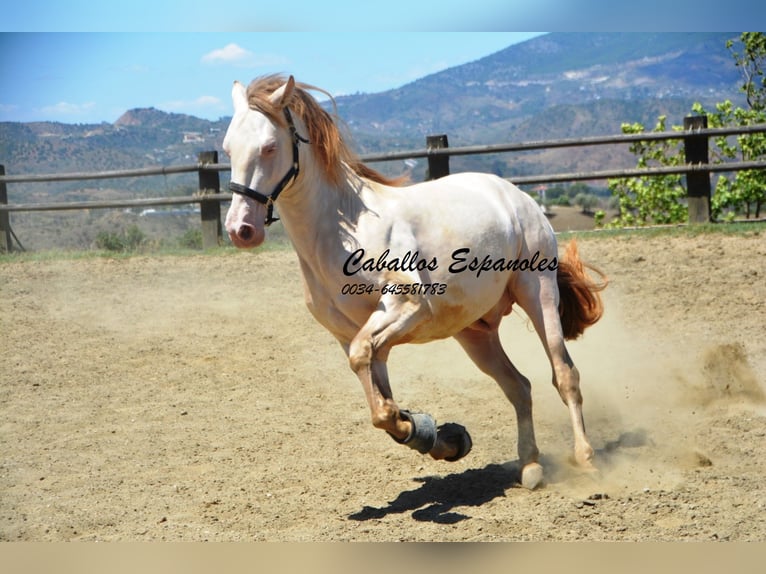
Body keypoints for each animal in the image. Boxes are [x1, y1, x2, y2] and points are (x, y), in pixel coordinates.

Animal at [222, 75, 608, 490]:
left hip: (539, 294)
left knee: (564, 375)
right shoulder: (350, 333)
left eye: (269, 147)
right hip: (475, 331)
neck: (342, 229)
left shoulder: (405, 307)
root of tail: (516, 194)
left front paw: (433, 433)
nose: (241, 230)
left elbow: (369, 373)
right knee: (518, 387)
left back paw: (586, 460)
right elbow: (380, 403)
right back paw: (530, 466)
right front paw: (443, 439)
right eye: (228, 148)